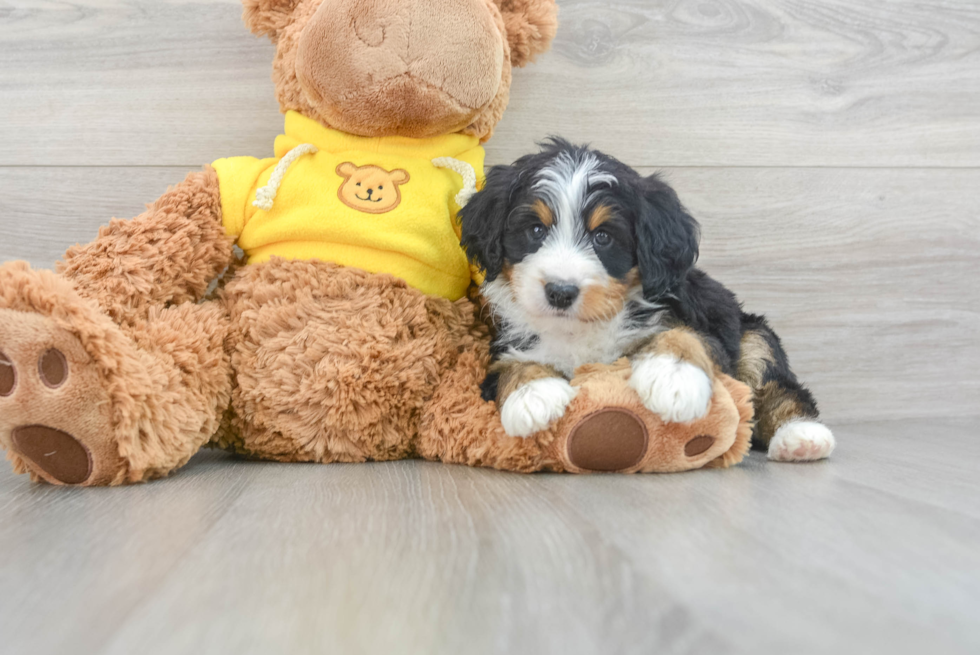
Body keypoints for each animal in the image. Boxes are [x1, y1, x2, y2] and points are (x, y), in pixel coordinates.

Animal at [460, 141, 836, 464]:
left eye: (603, 237)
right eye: (536, 230)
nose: (560, 292)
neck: (580, 329)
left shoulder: (697, 320)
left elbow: (684, 334)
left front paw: (674, 375)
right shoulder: (504, 343)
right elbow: (511, 365)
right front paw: (534, 395)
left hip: (752, 334)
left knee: (779, 388)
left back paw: (801, 437)